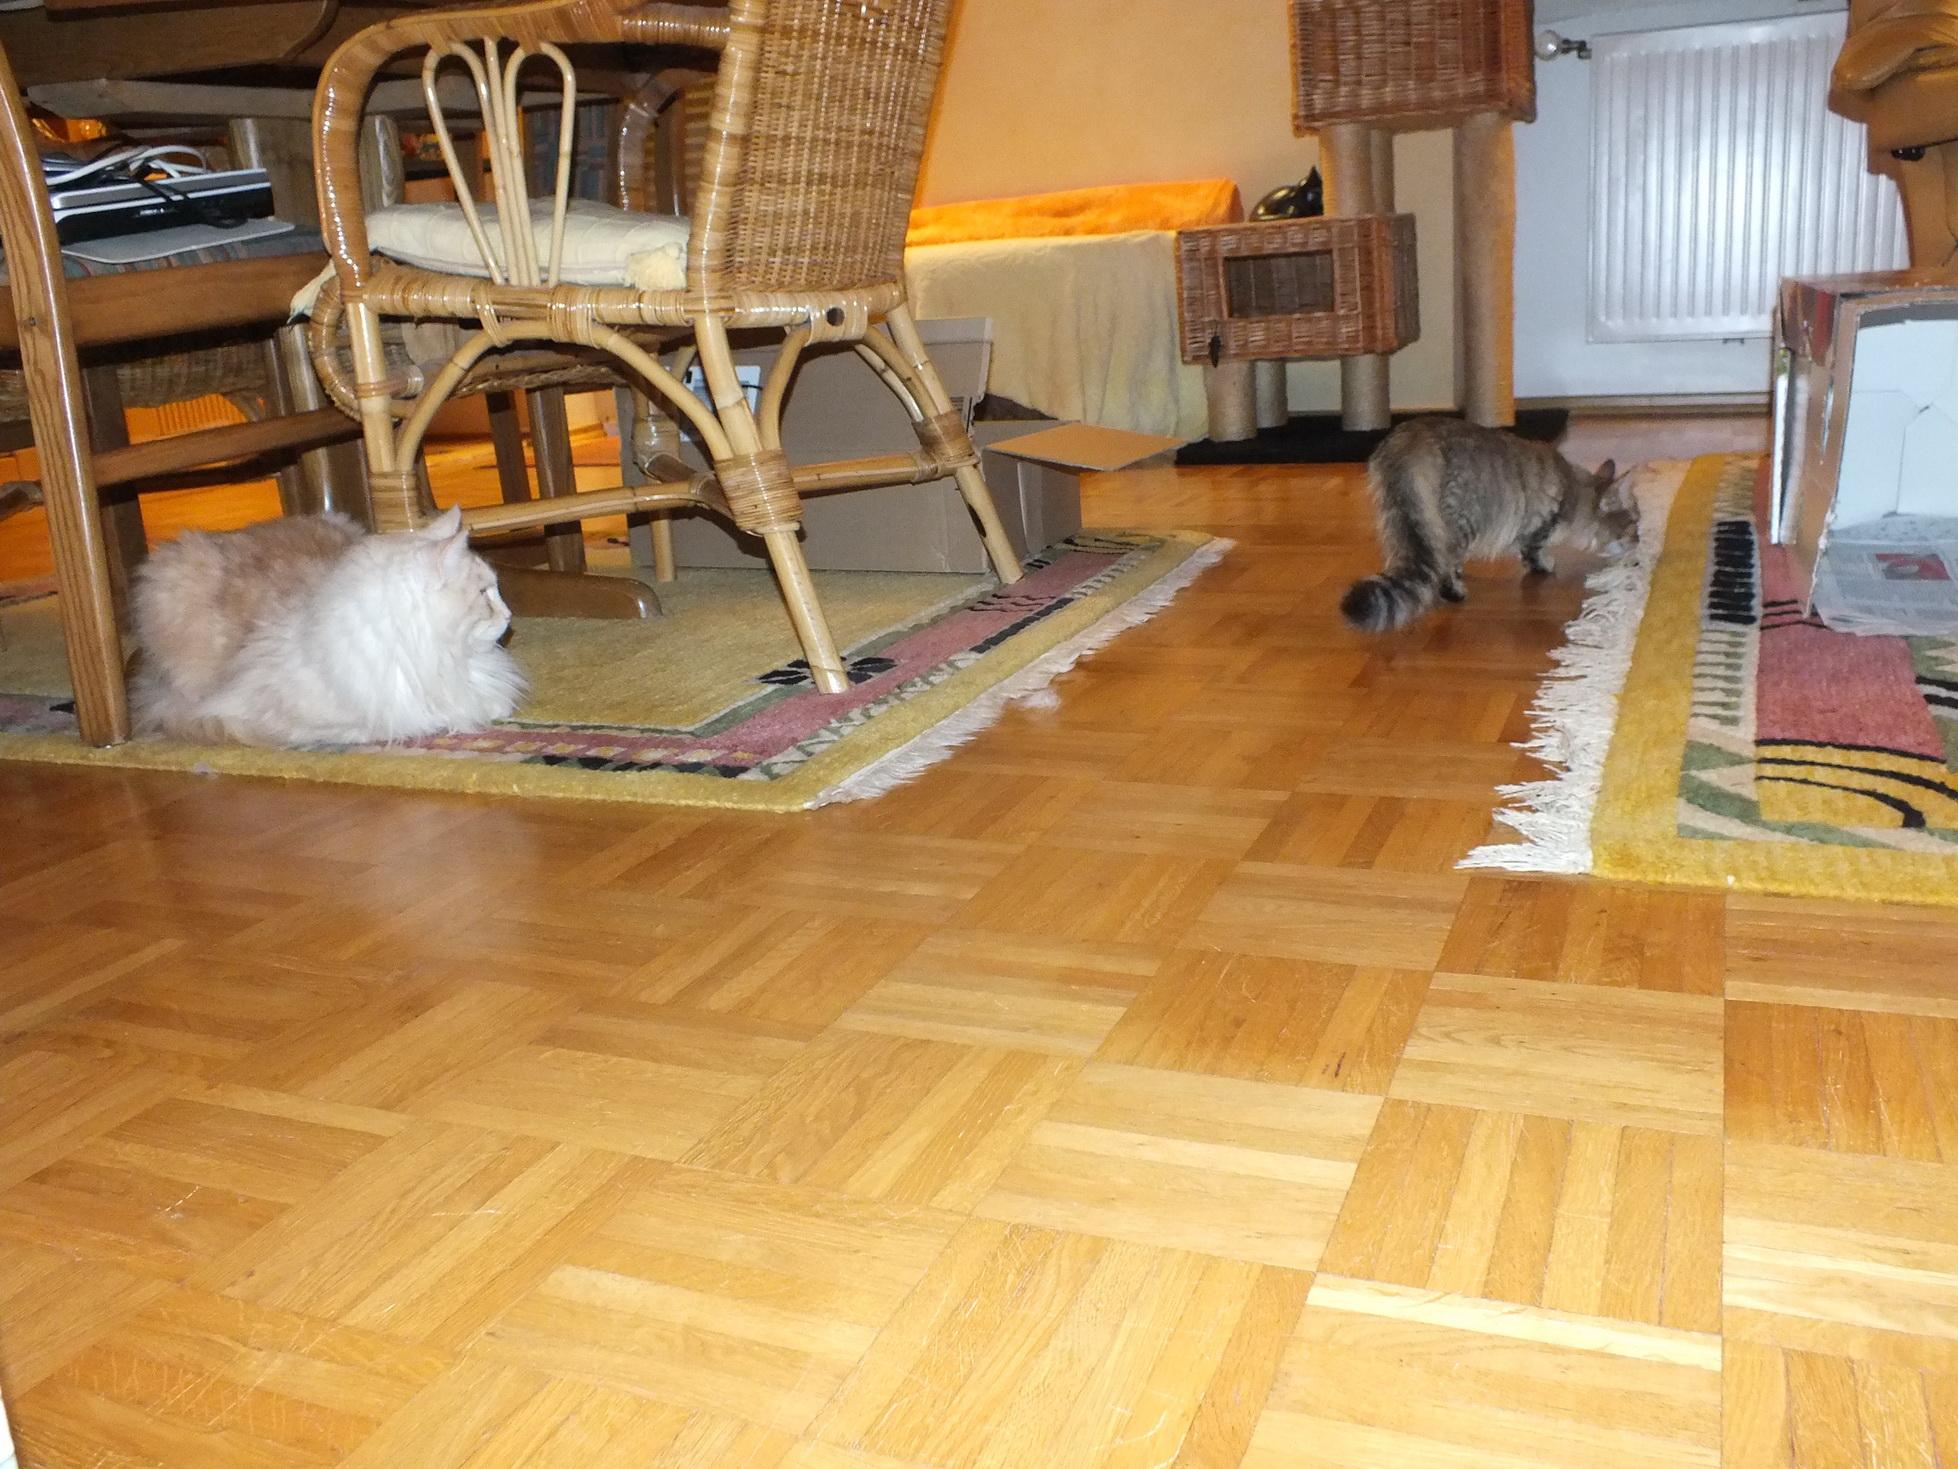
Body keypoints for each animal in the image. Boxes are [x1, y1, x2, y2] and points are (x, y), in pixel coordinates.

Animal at [1340, 418, 1636, 633]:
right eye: (1635, 524)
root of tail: (1411, 436)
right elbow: (1535, 550)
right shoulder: (1538, 524)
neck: (1574, 494)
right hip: (1463, 520)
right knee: (1444, 559)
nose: (1639, 542)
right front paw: (1544, 566)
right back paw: (1455, 591)